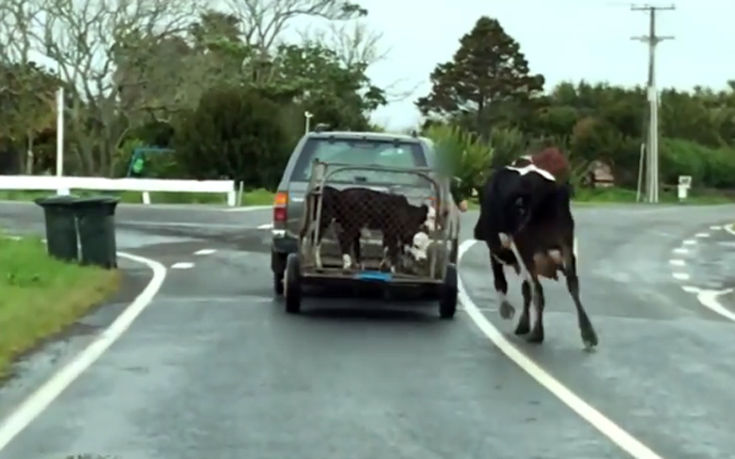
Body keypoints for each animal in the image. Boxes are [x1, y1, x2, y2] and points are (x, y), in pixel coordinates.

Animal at [474, 149, 600, 350]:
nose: (477, 232)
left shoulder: (497, 248)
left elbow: (502, 282)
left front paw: (510, 314)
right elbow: (525, 289)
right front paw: (522, 323)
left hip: (524, 247)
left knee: (538, 289)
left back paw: (537, 334)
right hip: (566, 243)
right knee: (572, 284)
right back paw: (588, 335)